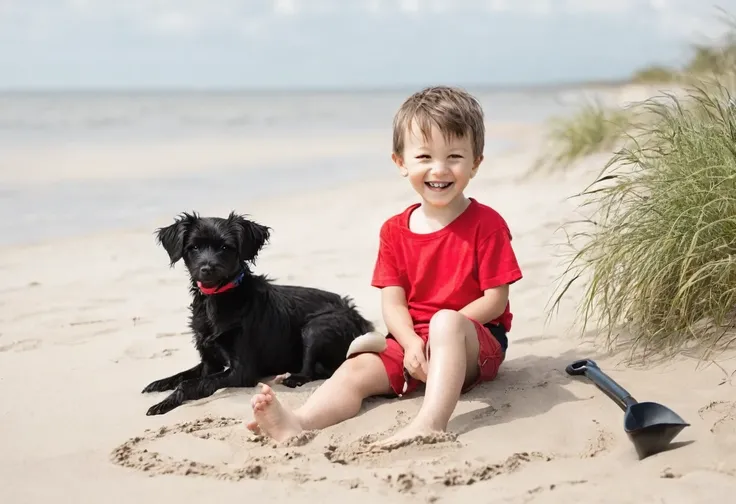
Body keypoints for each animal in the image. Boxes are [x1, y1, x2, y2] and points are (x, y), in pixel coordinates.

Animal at [142, 211, 376, 416]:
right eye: (194, 247)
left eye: (226, 247)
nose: (207, 269)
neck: (217, 300)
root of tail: (361, 319)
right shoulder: (209, 360)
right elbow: (186, 375)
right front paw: (159, 384)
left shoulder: (242, 371)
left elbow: (191, 384)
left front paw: (164, 403)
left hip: (316, 327)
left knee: (313, 370)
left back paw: (294, 377)